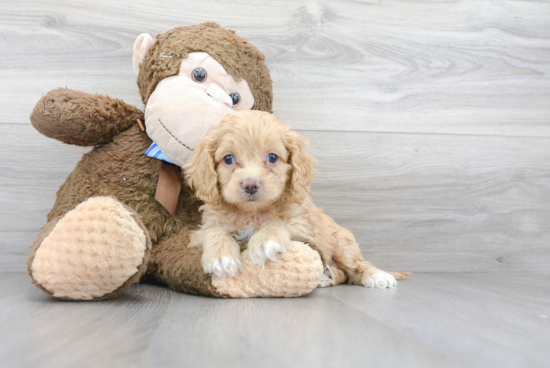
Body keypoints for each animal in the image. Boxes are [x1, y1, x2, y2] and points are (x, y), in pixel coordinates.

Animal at [185, 110, 410, 288]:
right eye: (229, 159)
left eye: (272, 157)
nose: (250, 184)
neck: (252, 213)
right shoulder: (202, 230)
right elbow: (214, 231)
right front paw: (220, 257)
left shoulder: (304, 227)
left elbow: (277, 223)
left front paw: (266, 240)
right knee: (344, 275)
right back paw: (326, 277)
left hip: (343, 244)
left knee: (357, 267)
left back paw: (377, 276)